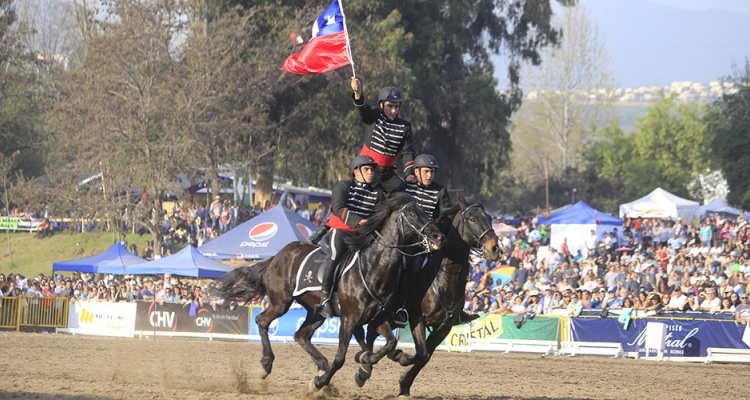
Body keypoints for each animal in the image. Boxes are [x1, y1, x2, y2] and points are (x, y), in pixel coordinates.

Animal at [214, 194, 444, 390]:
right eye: (412, 214)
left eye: (425, 211)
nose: (437, 236)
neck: (372, 268)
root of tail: (278, 255)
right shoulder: (349, 319)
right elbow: (341, 358)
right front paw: (320, 382)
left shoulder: (378, 318)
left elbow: (390, 343)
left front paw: (367, 360)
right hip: (281, 302)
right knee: (262, 321)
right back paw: (266, 364)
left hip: (316, 312)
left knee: (301, 335)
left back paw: (321, 364)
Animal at [354, 195, 502, 396]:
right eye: (472, 219)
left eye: (490, 218)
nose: (495, 249)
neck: (443, 279)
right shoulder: (418, 318)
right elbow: (421, 352)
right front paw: (400, 359)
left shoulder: (444, 327)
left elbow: (424, 356)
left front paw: (404, 385)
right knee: (371, 332)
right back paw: (367, 365)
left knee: (372, 333)